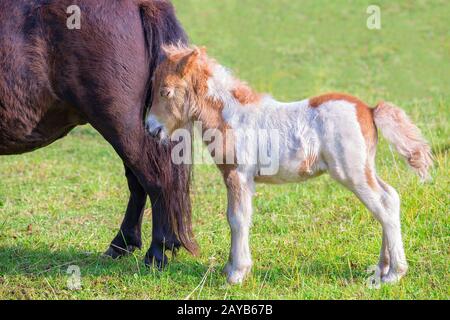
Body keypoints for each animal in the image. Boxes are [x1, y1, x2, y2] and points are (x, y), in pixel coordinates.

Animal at [147, 45, 432, 284]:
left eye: (165, 91)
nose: (151, 129)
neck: (231, 117)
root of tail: (370, 110)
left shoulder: (239, 176)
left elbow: (237, 219)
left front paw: (236, 274)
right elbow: (237, 217)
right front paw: (230, 268)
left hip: (352, 174)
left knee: (384, 209)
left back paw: (394, 274)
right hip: (365, 169)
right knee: (390, 198)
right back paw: (382, 268)